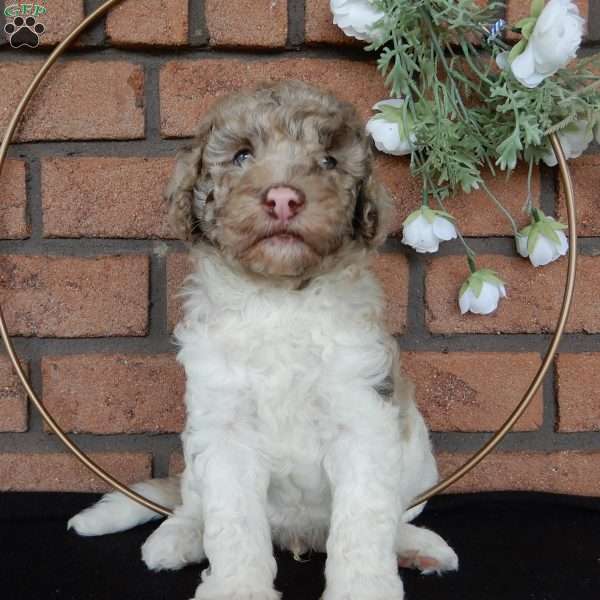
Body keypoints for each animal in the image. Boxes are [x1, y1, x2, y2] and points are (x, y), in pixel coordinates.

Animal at [69, 81, 454, 600]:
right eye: (242, 155)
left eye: (328, 161)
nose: (284, 199)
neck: (280, 298)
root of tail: (299, 534)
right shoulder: (224, 425)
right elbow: (231, 521)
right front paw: (237, 589)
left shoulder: (363, 418)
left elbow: (365, 519)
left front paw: (364, 588)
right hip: (195, 451)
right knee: (193, 505)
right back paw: (176, 540)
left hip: (418, 462)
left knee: (394, 516)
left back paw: (418, 546)